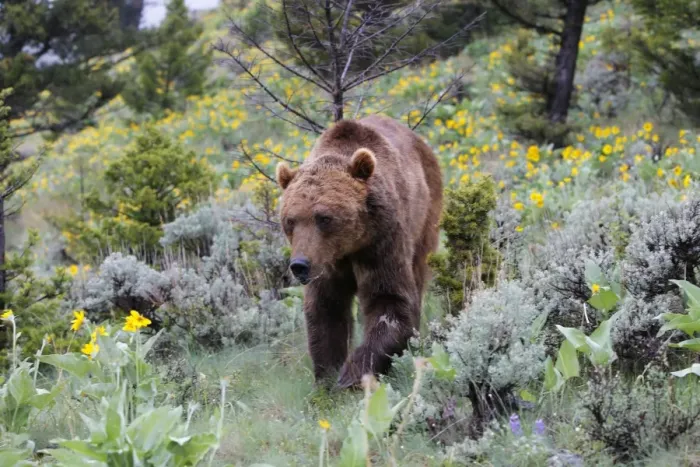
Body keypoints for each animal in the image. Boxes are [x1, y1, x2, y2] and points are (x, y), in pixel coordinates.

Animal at [275, 114, 443, 389]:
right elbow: (326, 310)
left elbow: (390, 301)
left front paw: (352, 374)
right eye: (290, 220)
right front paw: (328, 376)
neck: (348, 246)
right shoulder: (328, 263)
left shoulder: (380, 243)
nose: (300, 265)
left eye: (324, 218)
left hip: (426, 213)